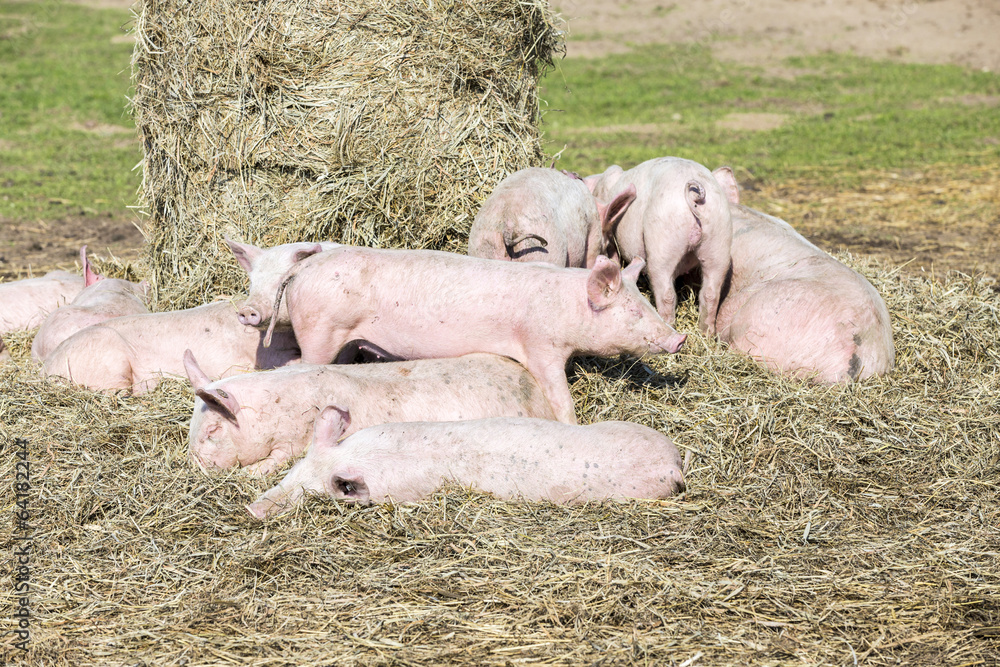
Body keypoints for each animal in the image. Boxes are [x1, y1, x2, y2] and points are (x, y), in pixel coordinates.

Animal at [185, 351, 557, 474]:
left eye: (213, 431)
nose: (196, 466)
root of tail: (536, 392)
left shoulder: (291, 442)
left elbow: (273, 463)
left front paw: (249, 474)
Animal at [264, 247, 688, 424]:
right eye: (634, 311)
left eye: (645, 304)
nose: (679, 339)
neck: (565, 306)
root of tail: (300, 271)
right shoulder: (540, 346)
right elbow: (559, 395)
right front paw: (573, 425)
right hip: (320, 329)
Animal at [467, 166, 637, 268]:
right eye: (608, 241)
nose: (618, 262)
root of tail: (508, 222)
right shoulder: (593, 233)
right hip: (547, 252)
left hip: (483, 246)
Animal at [584, 157, 739, 335]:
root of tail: (694, 198)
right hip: (719, 239)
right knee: (710, 293)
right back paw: (706, 333)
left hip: (662, 240)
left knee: (666, 294)